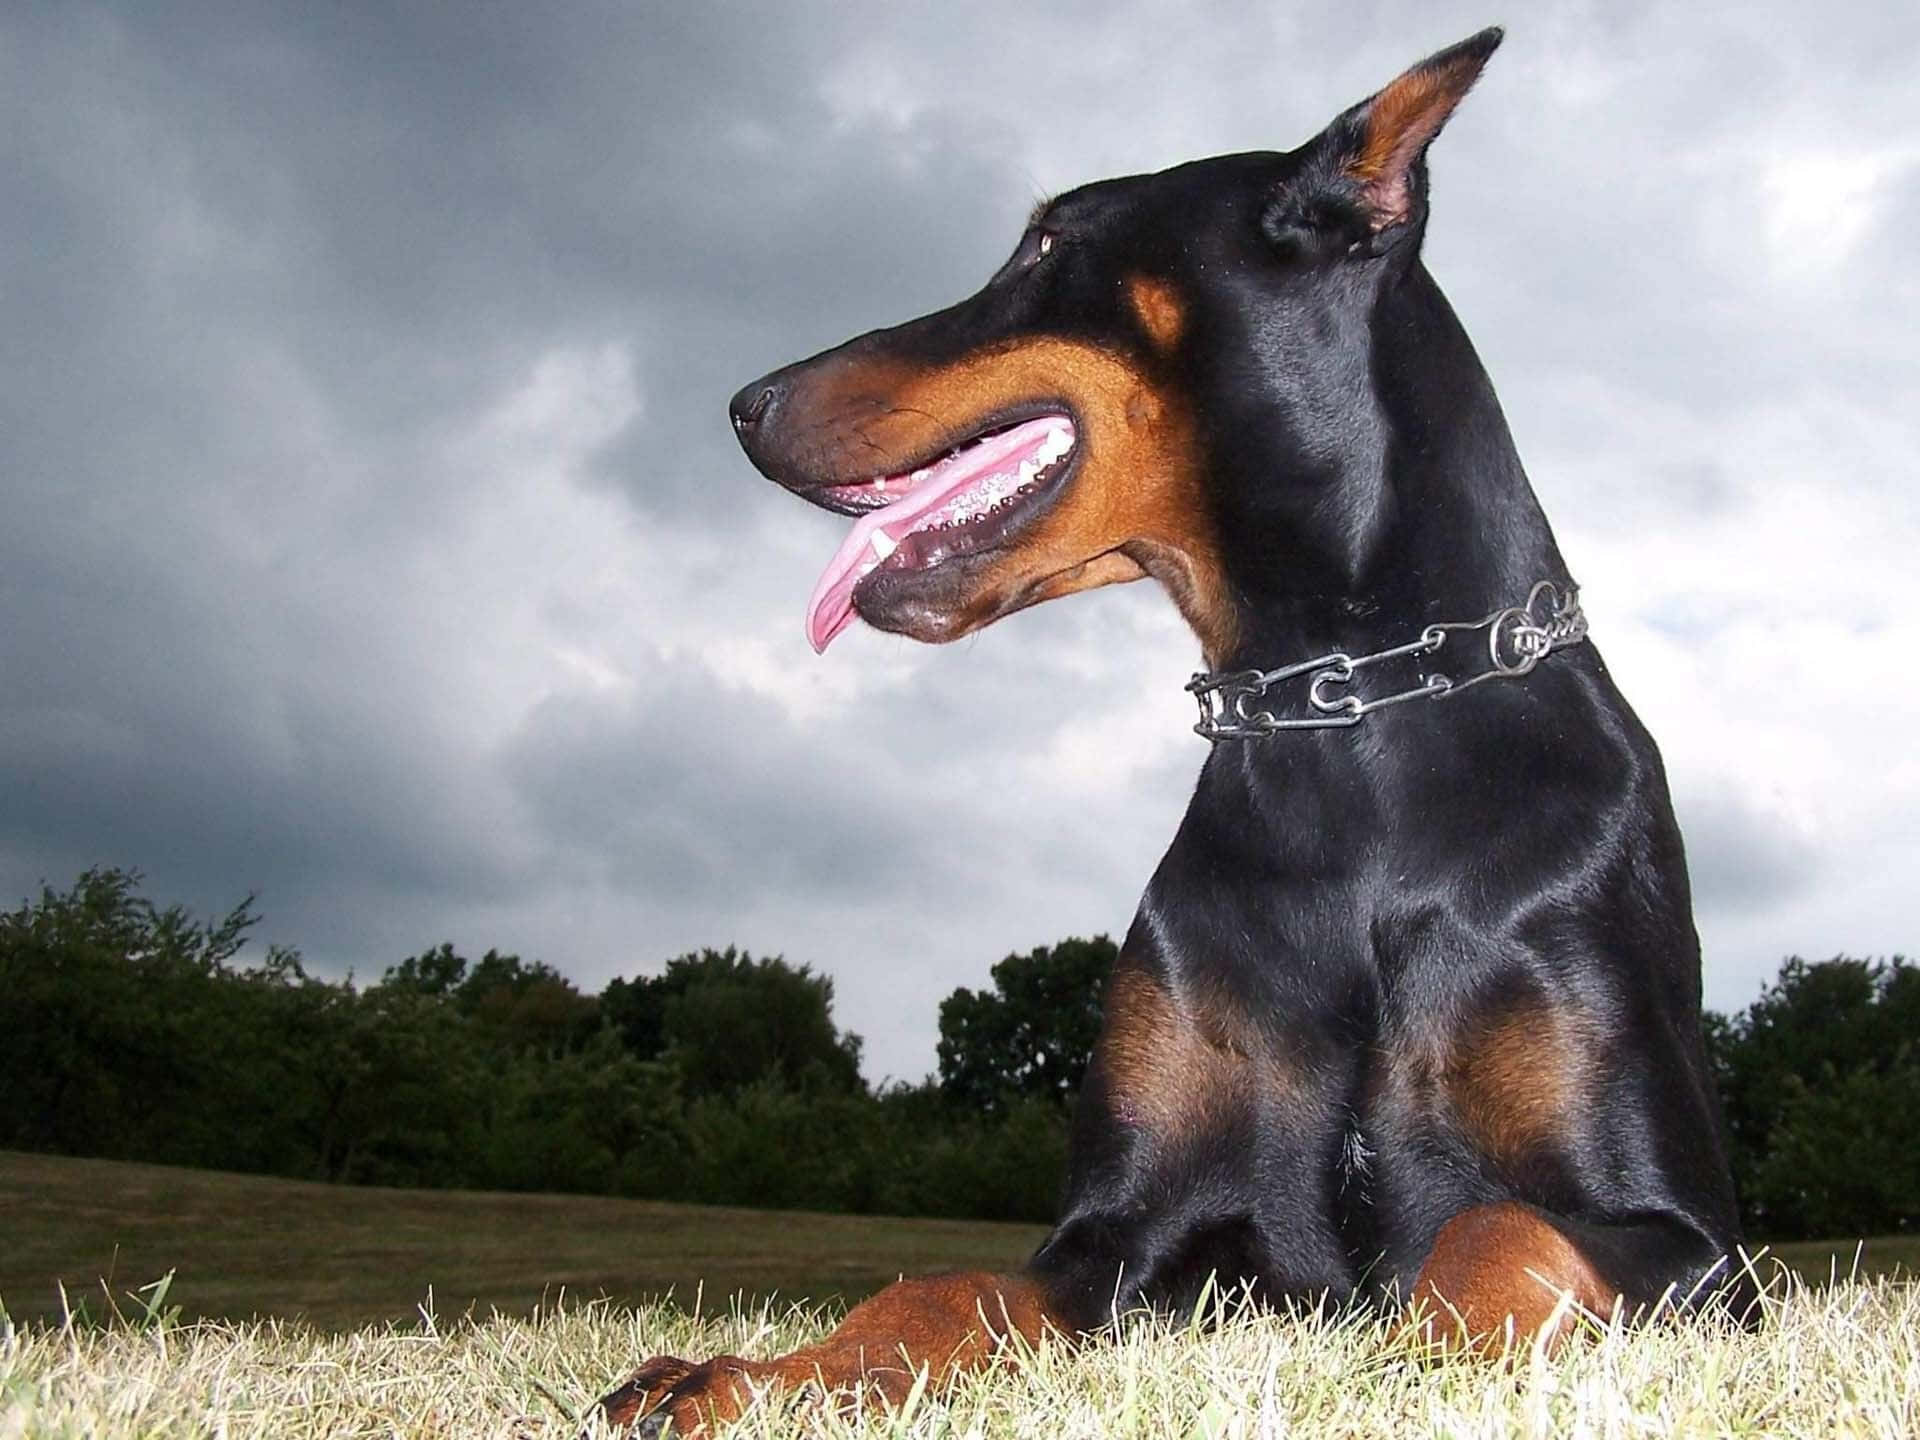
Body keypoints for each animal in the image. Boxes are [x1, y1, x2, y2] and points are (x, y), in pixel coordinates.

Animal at [599, 28, 1758, 1436]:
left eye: (1046, 245)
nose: (744, 404)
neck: (1347, 715)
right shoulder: (1118, 1237)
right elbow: (936, 1289)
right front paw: (747, 1376)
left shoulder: (1694, 1241)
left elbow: (1498, 1233)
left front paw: (1416, 1362)